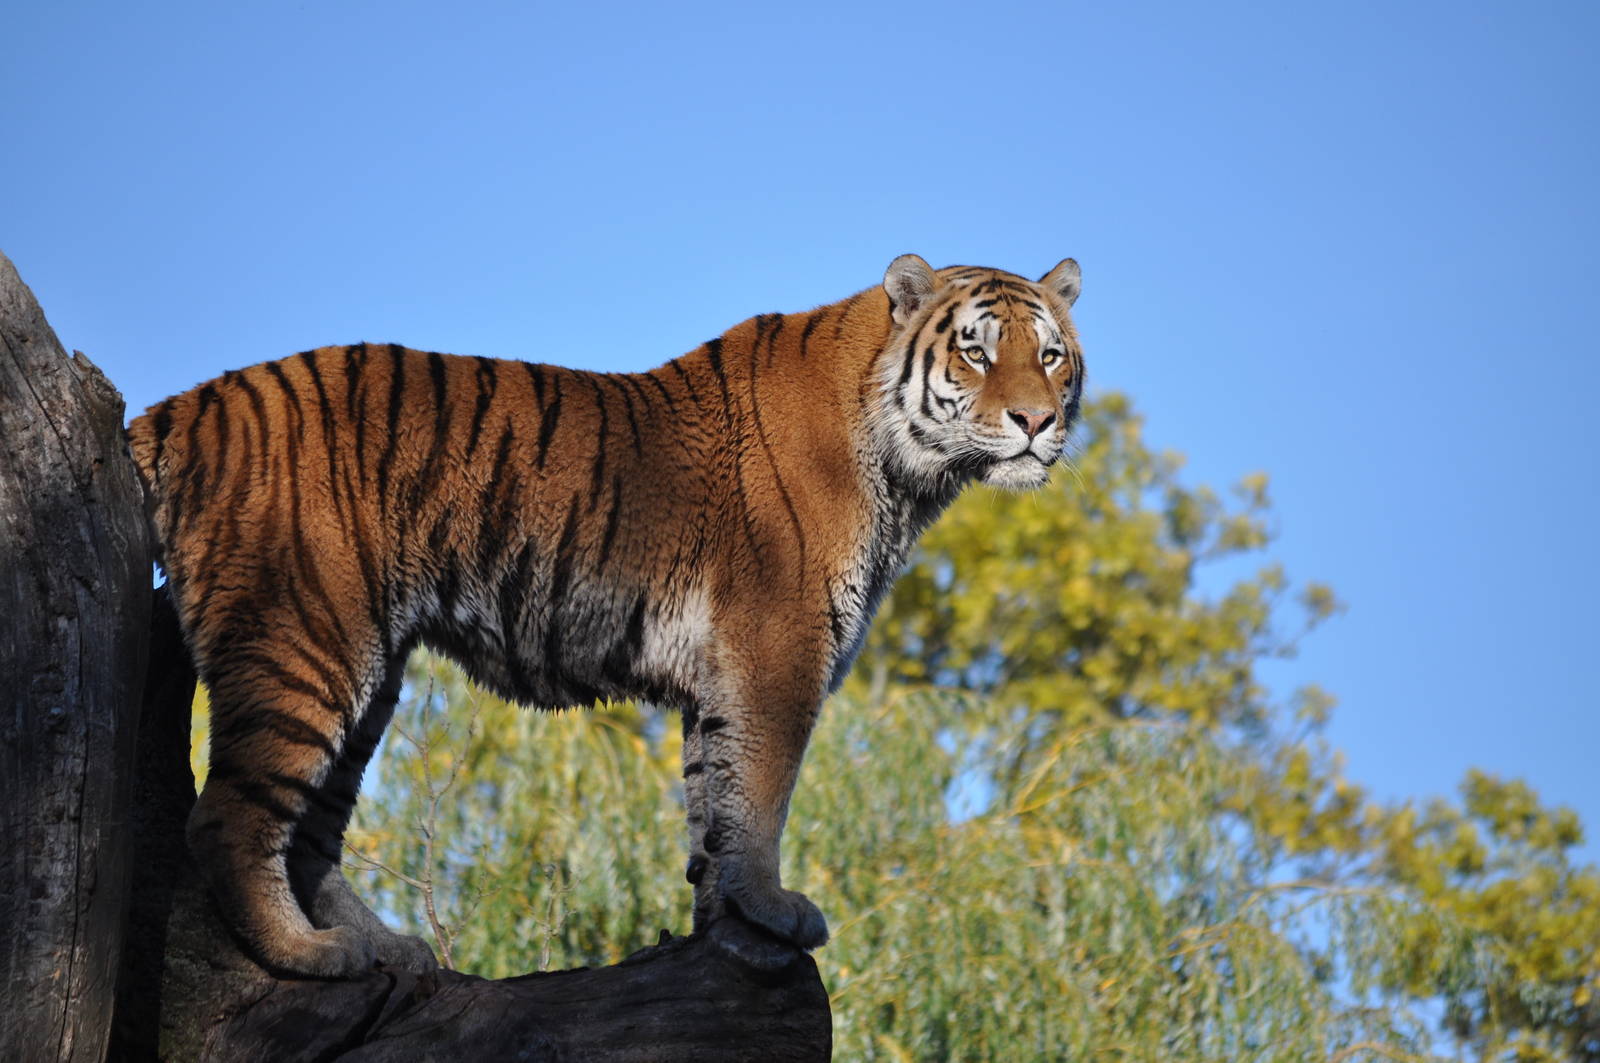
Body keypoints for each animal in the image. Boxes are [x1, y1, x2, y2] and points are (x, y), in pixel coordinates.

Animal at [125, 254, 1085, 978]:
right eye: (974, 352)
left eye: (1049, 356)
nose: (1037, 422)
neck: (909, 473)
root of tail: (180, 405)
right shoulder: (779, 649)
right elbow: (761, 796)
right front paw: (774, 910)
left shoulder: (720, 678)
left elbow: (715, 806)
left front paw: (729, 929)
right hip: (303, 635)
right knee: (228, 818)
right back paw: (309, 955)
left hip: (365, 670)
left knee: (311, 834)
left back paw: (382, 949)